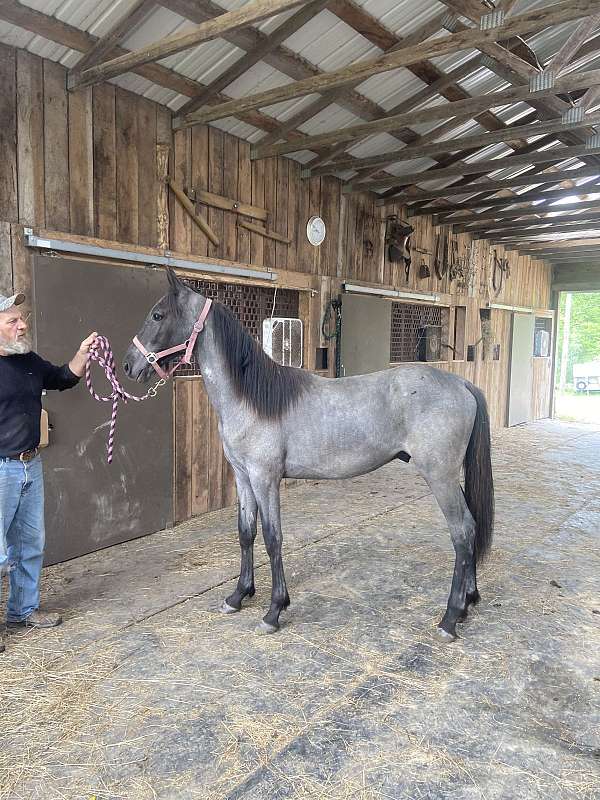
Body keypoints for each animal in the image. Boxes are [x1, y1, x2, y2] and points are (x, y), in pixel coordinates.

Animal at [124, 270, 494, 644]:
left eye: (158, 315)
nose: (128, 365)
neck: (253, 398)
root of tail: (461, 384)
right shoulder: (243, 477)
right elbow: (246, 533)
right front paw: (238, 596)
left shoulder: (265, 479)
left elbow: (273, 538)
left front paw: (274, 610)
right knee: (472, 527)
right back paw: (468, 602)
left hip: (440, 477)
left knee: (462, 532)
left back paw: (450, 618)